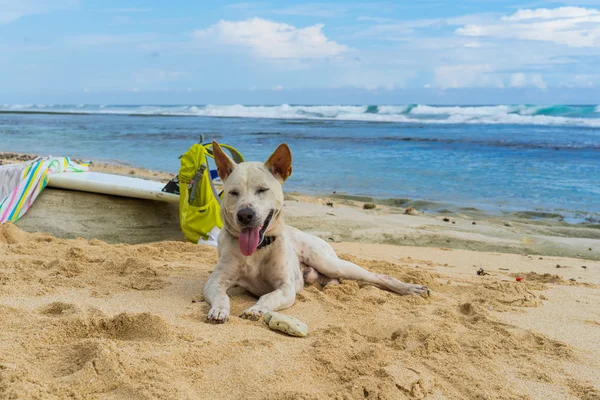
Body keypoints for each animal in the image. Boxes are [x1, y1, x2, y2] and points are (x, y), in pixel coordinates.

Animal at [204, 142, 428, 324]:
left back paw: (411, 289)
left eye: (262, 190)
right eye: (233, 192)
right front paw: (219, 310)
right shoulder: (215, 282)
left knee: (378, 276)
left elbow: (268, 297)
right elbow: (222, 296)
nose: (245, 215)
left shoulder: (285, 288)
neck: (258, 250)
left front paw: (256, 309)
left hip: (330, 263)